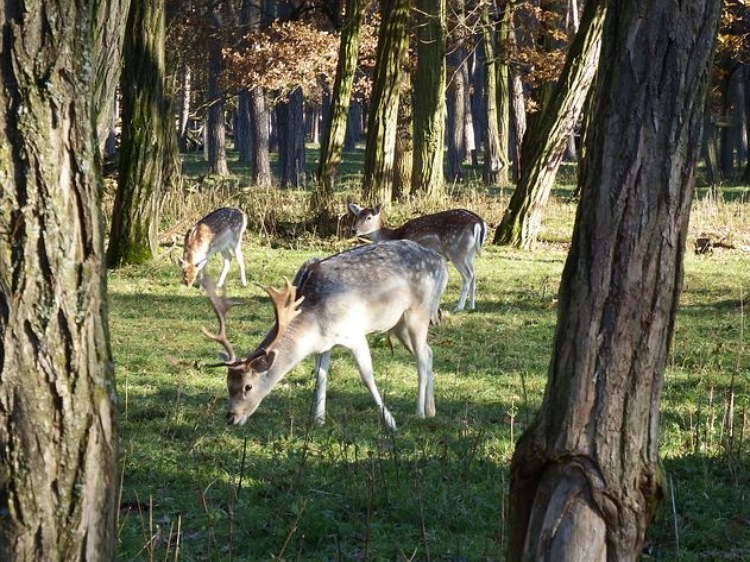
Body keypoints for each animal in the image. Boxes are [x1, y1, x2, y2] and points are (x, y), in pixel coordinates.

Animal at [200, 238, 450, 426]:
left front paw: (390, 422)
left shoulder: (354, 333)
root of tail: (441, 263)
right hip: (397, 324)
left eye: (248, 386)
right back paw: (432, 410)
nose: (231, 417)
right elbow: (321, 377)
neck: (315, 324)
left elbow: (367, 377)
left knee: (421, 357)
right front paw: (318, 420)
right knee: (428, 352)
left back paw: (419, 412)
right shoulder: (324, 345)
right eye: (227, 383)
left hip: (419, 312)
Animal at [352, 203, 490, 312]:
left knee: (468, 275)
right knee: (474, 274)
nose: (354, 230)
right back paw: (471, 306)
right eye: (357, 216)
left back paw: (458, 307)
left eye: (368, 217)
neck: (393, 235)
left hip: (456, 251)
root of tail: (479, 223)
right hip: (469, 253)